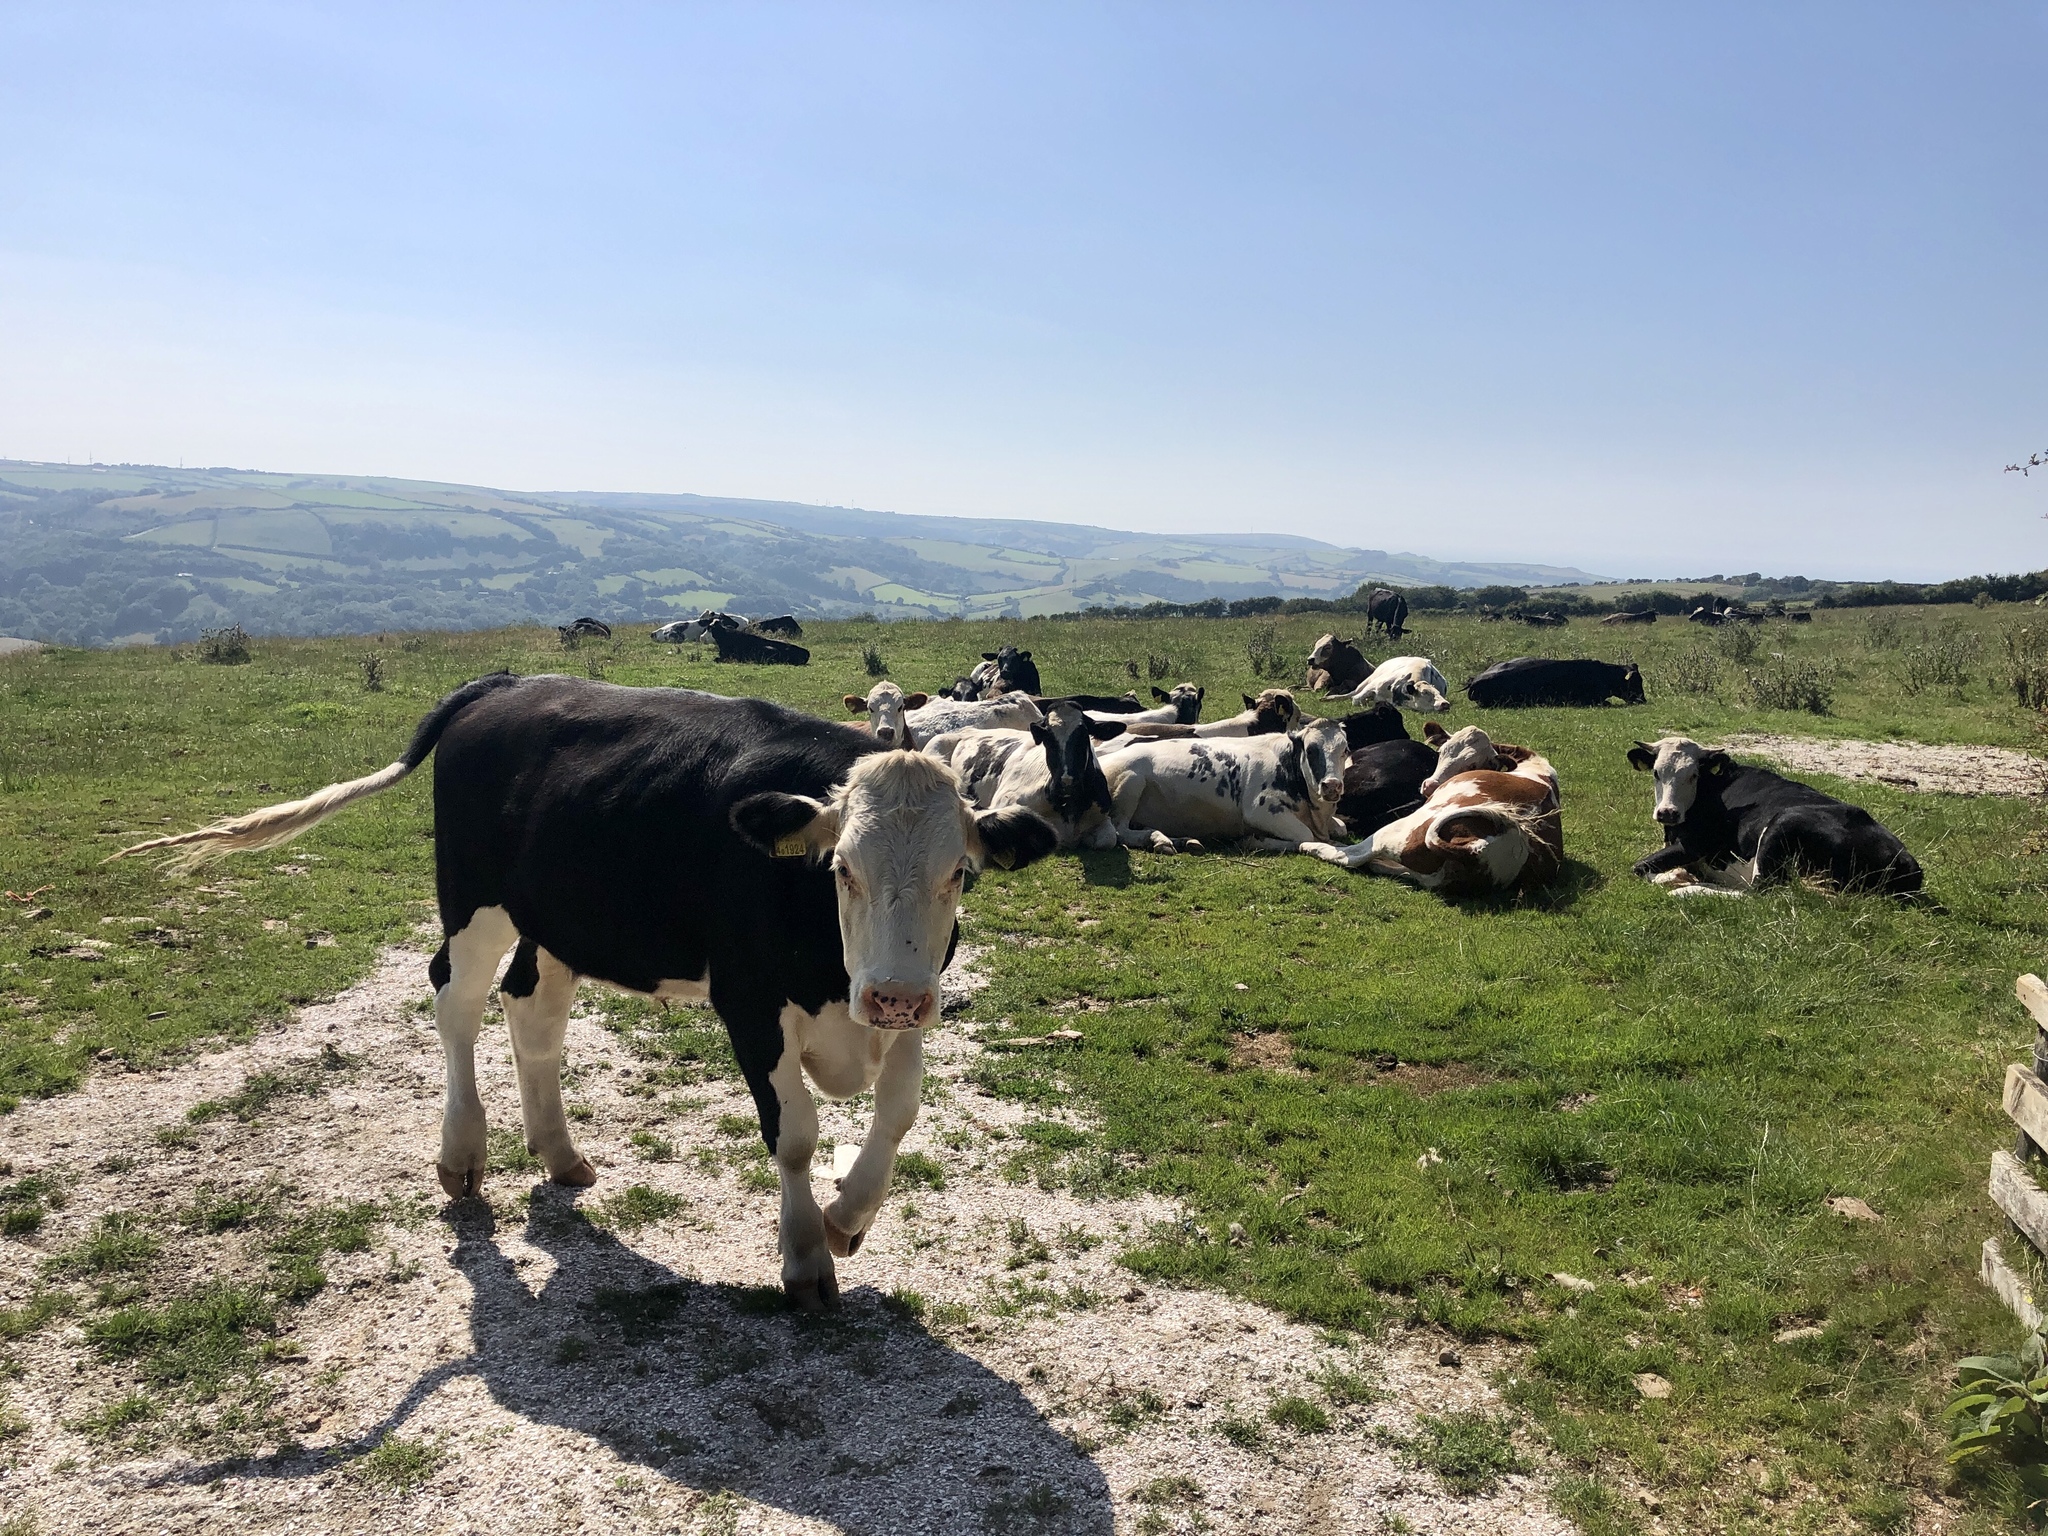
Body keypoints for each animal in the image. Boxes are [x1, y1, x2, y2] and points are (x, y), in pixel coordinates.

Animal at [119, 679, 1056, 1318]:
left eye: (959, 872)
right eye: (843, 869)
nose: (892, 997)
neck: (831, 959)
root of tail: (504, 685)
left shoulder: (908, 997)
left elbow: (899, 1111)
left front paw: (847, 1217)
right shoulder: (751, 1003)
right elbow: (792, 1134)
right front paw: (804, 1261)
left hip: (557, 918)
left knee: (530, 1010)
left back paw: (559, 1151)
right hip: (474, 902)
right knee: (456, 1004)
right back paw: (462, 1154)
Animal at [1097, 712, 1351, 856]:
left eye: (1345, 750)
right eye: (1310, 750)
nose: (1332, 786)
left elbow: (1341, 827)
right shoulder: (1261, 810)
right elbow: (1304, 835)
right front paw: (1256, 840)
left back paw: (1180, 840)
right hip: (1131, 782)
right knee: (1120, 831)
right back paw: (1157, 839)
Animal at [1302, 729, 1556, 897]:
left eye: (1474, 764)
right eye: (1442, 752)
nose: (1429, 786)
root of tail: (1477, 850)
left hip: (1398, 831)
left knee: (1352, 855)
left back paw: (1312, 845)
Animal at [1622, 737, 1925, 897]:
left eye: (1693, 774)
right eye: (1656, 772)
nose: (1667, 812)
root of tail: (1908, 862)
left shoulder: (1694, 845)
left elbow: (1639, 866)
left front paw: (1677, 877)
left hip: (1782, 825)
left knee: (1760, 892)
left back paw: (1692, 889)